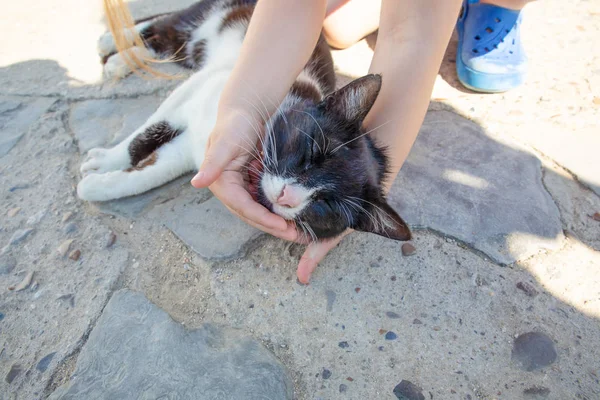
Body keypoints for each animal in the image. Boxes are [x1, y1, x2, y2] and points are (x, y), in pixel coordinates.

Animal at [78, 0, 412, 242]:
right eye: (312, 154)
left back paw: (121, 59)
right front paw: (105, 161)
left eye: (326, 205)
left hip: (189, 51)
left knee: (166, 42)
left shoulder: (196, 151)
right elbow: (146, 134)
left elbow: (153, 171)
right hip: (213, 20)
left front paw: (98, 185)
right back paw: (111, 43)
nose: (287, 195)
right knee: (166, 23)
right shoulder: (200, 88)